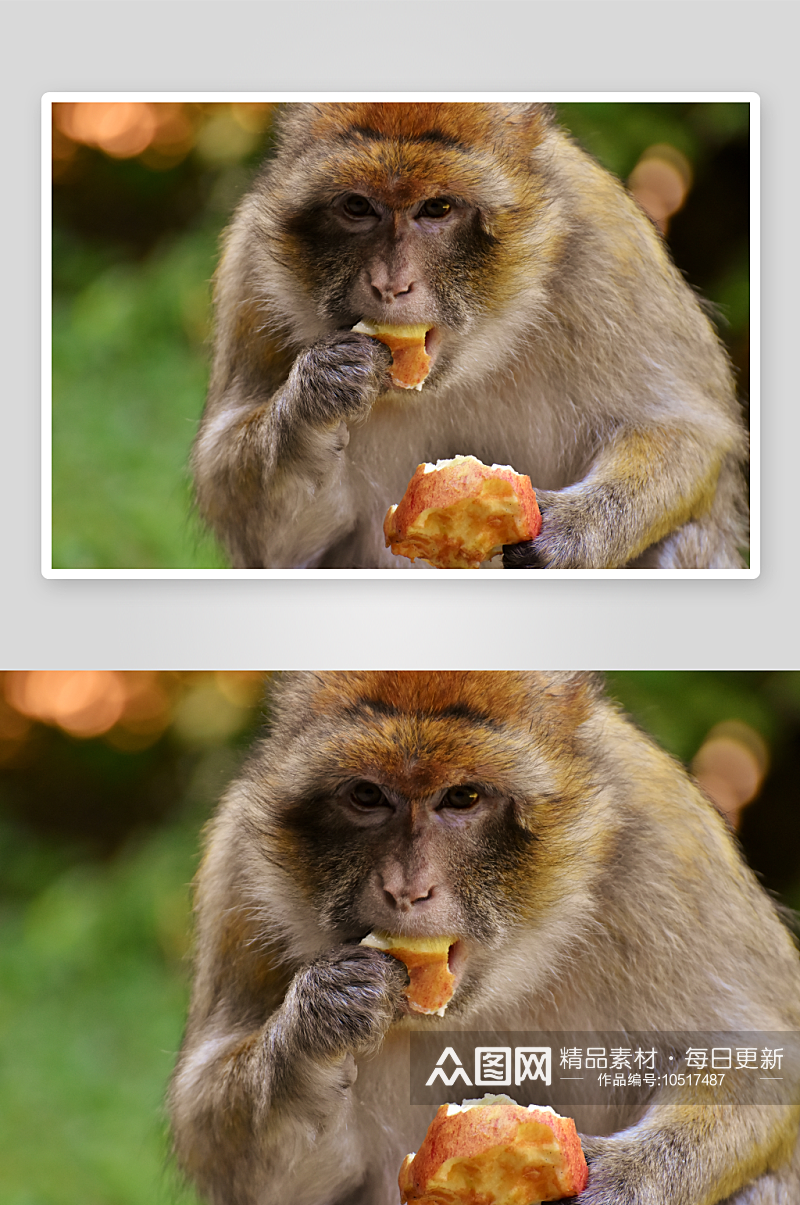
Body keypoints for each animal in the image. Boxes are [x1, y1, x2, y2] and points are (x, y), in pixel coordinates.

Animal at [168, 669, 800, 1205]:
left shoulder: (670, 843)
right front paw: (317, 1021)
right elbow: (240, 1163)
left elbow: (761, 1064)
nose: (406, 889)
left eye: (463, 797)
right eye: (367, 796)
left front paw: (621, 1181)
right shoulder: (238, 869)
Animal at [192, 102, 751, 568]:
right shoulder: (249, 270)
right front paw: (316, 394)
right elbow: (268, 540)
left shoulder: (610, 242)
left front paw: (570, 531)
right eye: (357, 206)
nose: (389, 284)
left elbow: (686, 430)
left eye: (437, 209)